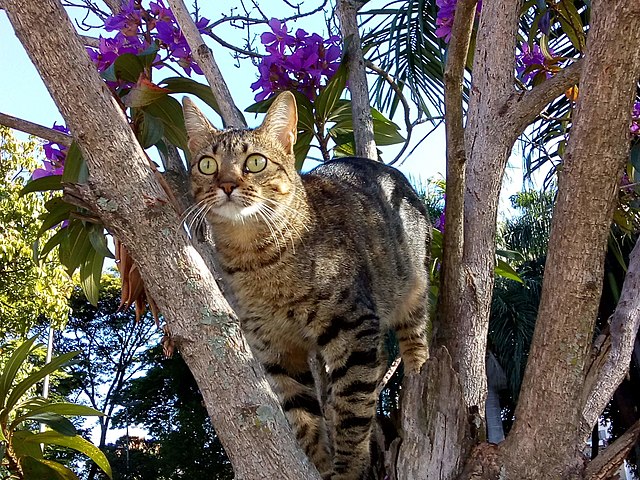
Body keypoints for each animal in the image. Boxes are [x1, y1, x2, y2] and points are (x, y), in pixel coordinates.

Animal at [180, 91, 430, 480]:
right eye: (207, 165)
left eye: (255, 162)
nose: (227, 185)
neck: (257, 260)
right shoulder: (275, 349)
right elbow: (303, 419)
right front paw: (322, 465)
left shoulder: (354, 329)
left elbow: (351, 410)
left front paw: (347, 469)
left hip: (412, 287)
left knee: (415, 334)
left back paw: (418, 365)